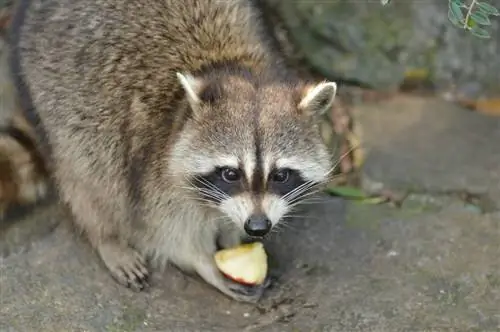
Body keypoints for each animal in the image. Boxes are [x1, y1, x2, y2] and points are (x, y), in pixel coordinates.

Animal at [7, 0, 338, 302]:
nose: (257, 227)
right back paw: (106, 237)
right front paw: (203, 263)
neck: (233, 66)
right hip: (59, 103)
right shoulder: (154, 166)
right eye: (230, 174)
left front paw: (231, 234)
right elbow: (166, 232)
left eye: (281, 175)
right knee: (88, 173)